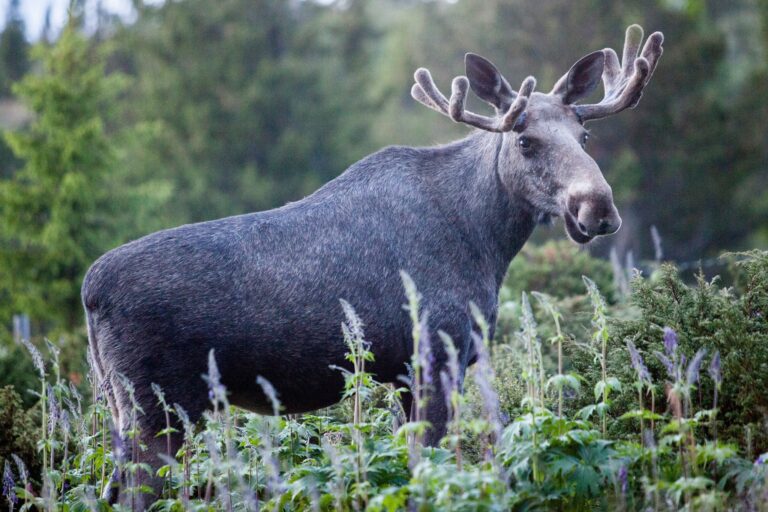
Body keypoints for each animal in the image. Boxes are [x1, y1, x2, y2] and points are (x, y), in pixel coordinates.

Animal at [82, 24, 660, 504]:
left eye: (584, 136)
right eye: (524, 140)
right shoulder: (435, 355)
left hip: (122, 407)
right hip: (157, 408)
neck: (486, 241)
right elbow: (430, 464)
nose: (597, 207)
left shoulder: (404, 373)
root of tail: (90, 293)